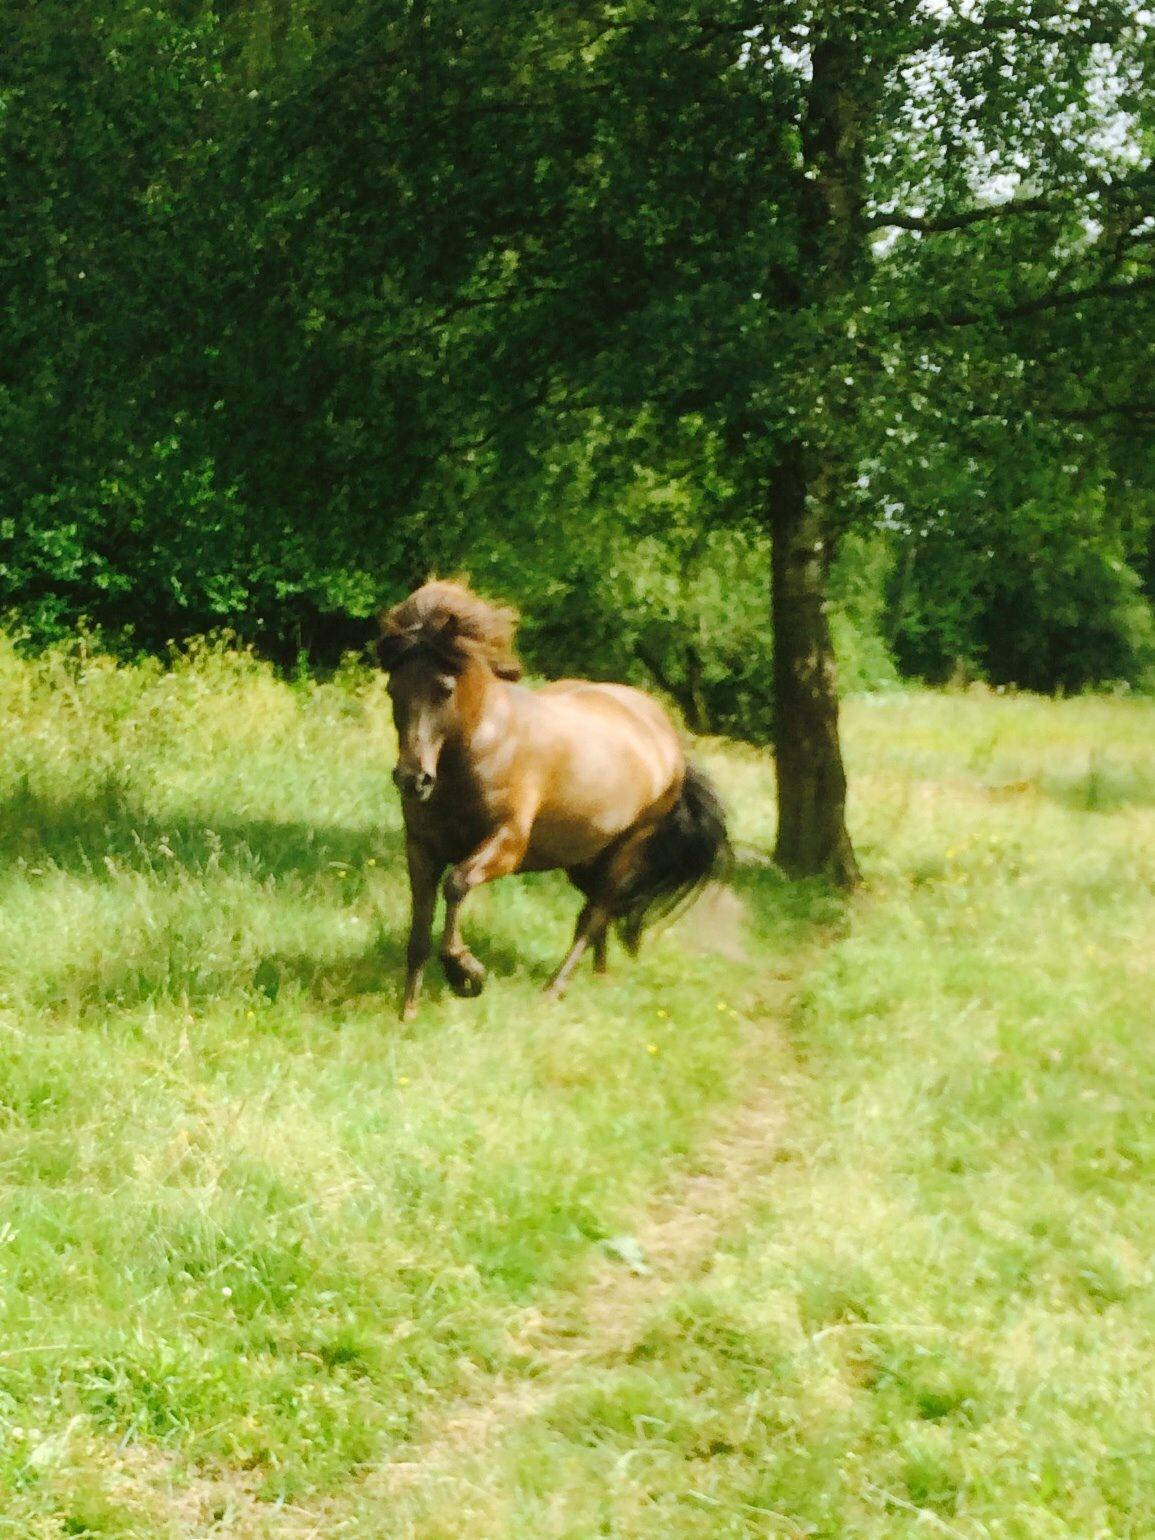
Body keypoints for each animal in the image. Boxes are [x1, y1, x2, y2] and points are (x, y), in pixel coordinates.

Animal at [381, 582, 733, 1016]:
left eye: (444, 689)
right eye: (393, 689)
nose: (412, 779)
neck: (484, 749)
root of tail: (667, 738)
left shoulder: (507, 846)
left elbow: (457, 884)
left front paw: (466, 974)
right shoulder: (421, 849)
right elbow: (419, 930)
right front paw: (408, 1012)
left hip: (627, 849)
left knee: (595, 912)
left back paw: (554, 988)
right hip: (583, 858)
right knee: (603, 912)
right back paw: (599, 975)